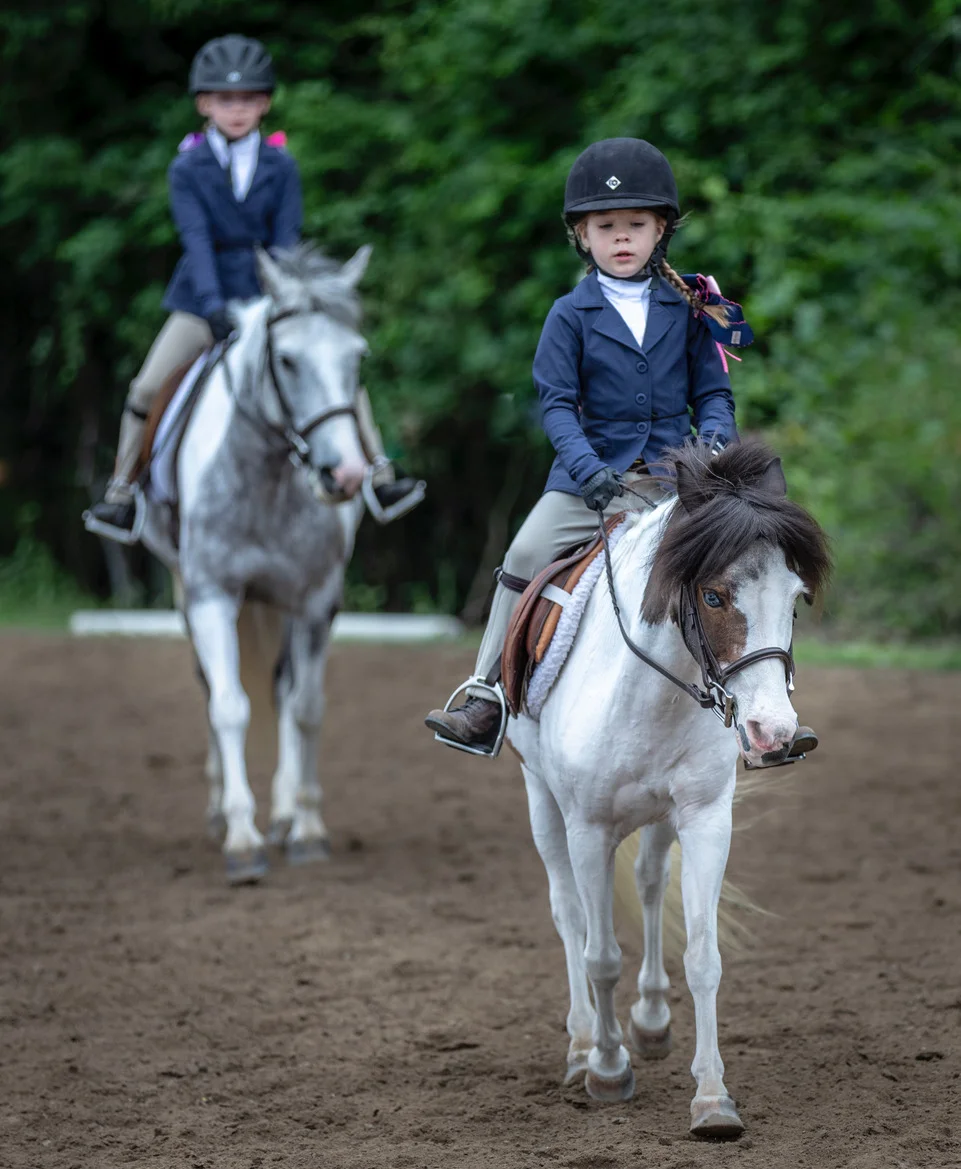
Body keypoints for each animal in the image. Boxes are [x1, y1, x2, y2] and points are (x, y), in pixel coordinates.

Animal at [141, 243, 372, 884]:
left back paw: (286, 813)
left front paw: (308, 827)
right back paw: (222, 809)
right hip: (190, 594)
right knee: (212, 689)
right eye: (287, 361)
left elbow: (307, 708)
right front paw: (242, 840)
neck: (267, 476)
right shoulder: (212, 596)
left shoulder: (317, 602)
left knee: (284, 692)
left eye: (357, 358)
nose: (345, 476)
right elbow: (228, 708)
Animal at [507, 439, 830, 1137]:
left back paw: (652, 1021)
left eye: (794, 599)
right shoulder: (588, 830)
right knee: (568, 913)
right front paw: (607, 1070)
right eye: (712, 596)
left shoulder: (706, 819)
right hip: (542, 801)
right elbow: (601, 954)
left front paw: (712, 1098)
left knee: (652, 886)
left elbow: (704, 957)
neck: (647, 688)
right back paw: (582, 1047)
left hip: (659, 819)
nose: (773, 732)